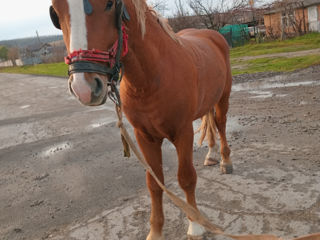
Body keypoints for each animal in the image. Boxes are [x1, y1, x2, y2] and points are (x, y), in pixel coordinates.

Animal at [50, 0, 232, 238]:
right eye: (55, 11)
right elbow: (154, 183)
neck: (152, 78)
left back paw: (225, 161)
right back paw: (211, 154)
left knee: (220, 124)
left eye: (109, 4)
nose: (84, 88)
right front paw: (155, 231)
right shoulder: (144, 137)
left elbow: (186, 178)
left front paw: (195, 224)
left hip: (223, 97)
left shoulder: (183, 133)